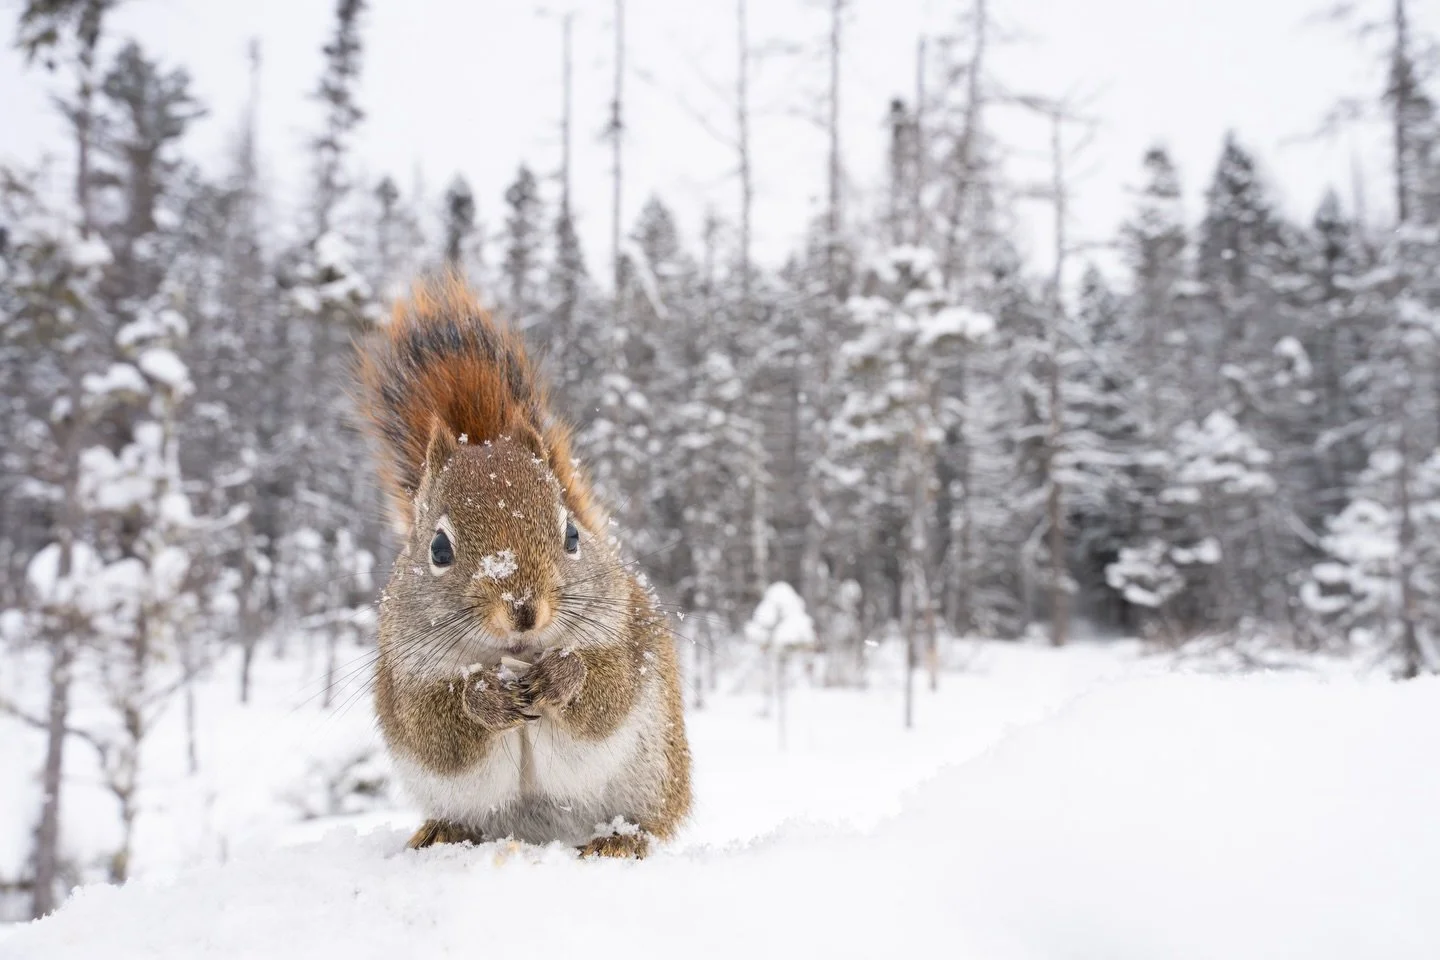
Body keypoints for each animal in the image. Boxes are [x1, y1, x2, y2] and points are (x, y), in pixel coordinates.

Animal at [355, 276, 691, 859]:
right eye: (438, 549)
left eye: (572, 535)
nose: (523, 609)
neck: (513, 657)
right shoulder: (405, 677)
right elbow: (437, 732)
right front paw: (483, 696)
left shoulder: (624, 641)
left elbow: (605, 696)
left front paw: (563, 674)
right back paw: (443, 831)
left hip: (656, 772)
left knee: (650, 820)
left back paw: (618, 840)